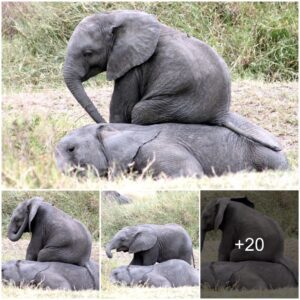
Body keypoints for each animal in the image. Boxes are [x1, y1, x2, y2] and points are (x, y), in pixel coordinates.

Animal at [64, 10, 280, 151]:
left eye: (88, 53)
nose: (101, 125)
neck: (113, 17)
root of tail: (221, 114)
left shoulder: (134, 66)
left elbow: (122, 108)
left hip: (180, 105)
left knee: (140, 111)